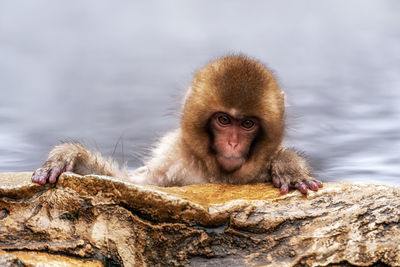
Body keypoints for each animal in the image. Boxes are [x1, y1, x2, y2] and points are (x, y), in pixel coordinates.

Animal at [32, 55, 324, 195]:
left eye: (248, 123)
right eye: (224, 120)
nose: (232, 143)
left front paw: (289, 165)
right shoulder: (171, 161)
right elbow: (134, 182)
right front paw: (69, 156)